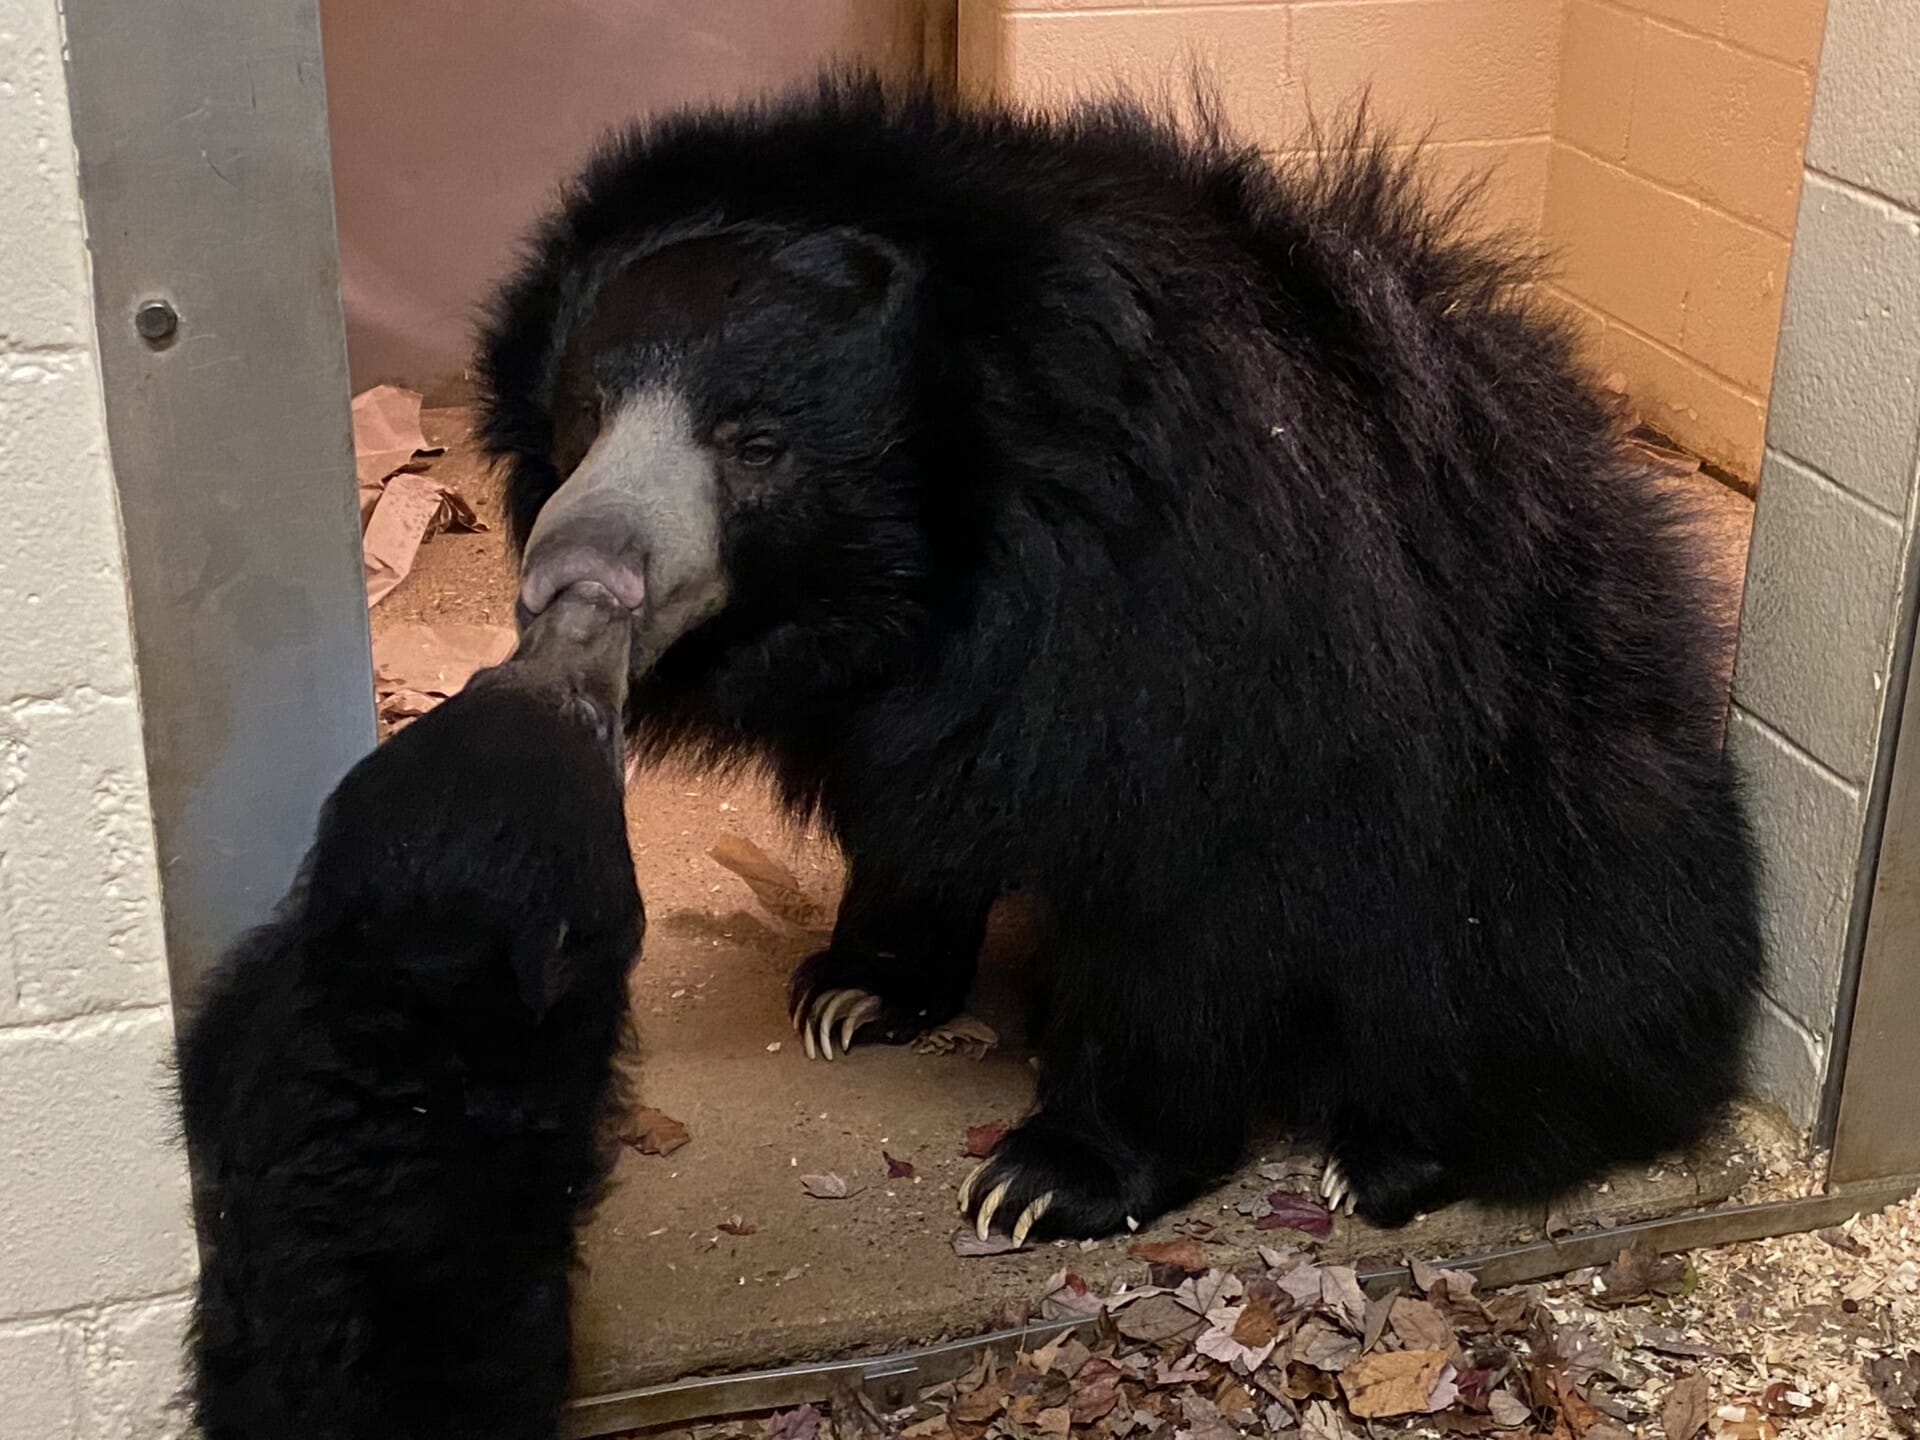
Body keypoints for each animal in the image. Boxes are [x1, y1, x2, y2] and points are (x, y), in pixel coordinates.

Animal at [476, 76, 1758, 1244]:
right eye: (584, 414)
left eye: (756, 444)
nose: (576, 573)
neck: (957, 564)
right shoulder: (924, 684)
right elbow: (923, 804)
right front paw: (854, 988)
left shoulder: (1213, 645)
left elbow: (1183, 910)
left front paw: (1049, 1177)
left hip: (1542, 839)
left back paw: (1389, 1154)